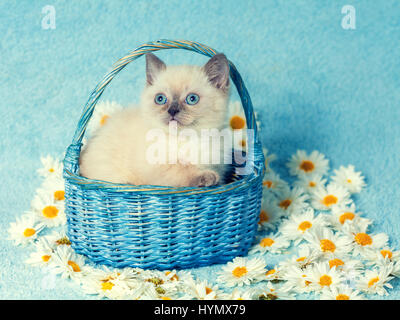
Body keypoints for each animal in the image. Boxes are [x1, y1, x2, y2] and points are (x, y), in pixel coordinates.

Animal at [79, 52, 231, 188]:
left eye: (192, 99)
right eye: (160, 99)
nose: (172, 111)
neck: (187, 138)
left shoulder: (217, 163)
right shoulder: (156, 167)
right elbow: (181, 170)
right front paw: (206, 177)